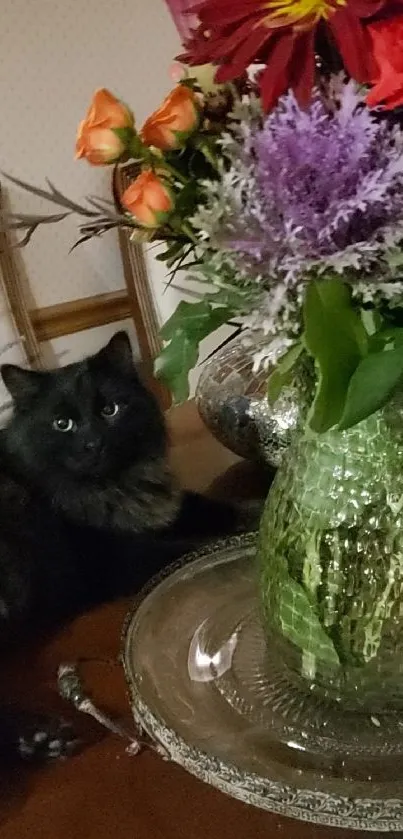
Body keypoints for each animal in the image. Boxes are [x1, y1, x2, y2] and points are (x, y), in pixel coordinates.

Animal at [0, 332, 246, 764]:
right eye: (62, 424)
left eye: (110, 410)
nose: (93, 443)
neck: (114, 486)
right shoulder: (110, 559)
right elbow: (191, 548)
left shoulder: (166, 509)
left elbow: (216, 507)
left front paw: (260, 511)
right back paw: (41, 737)